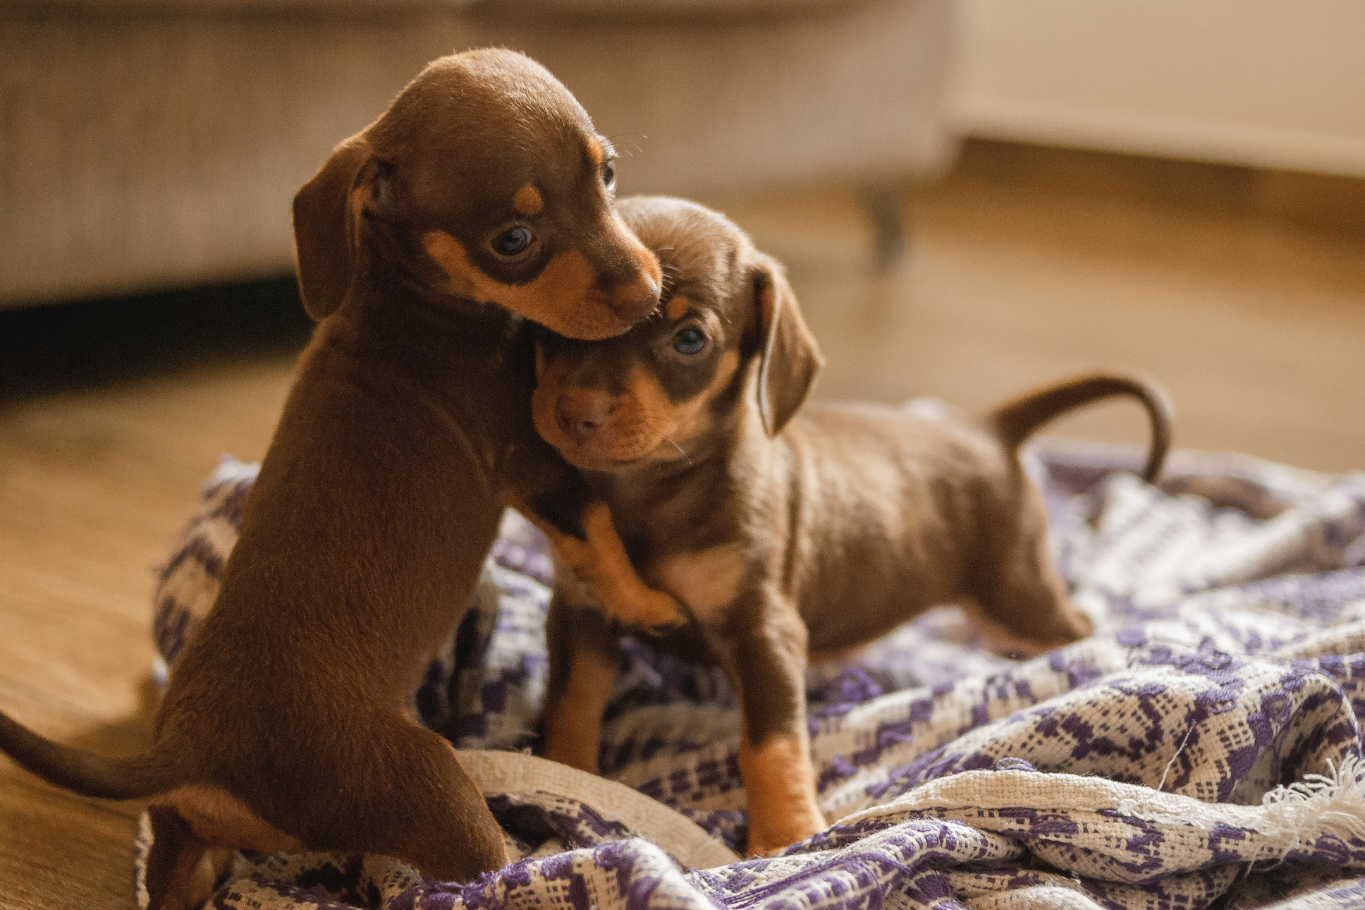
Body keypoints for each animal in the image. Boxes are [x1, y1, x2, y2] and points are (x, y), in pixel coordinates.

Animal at [0, 51, 671, 910]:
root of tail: (195, 749)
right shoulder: (528, 462)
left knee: (182, 874)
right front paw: (645, 602)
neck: (414, 297)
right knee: (488, 866)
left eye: (607, 172)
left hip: (189, 839)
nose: (646, 293)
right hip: (425, 782)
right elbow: (595, 529)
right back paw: (556, 852)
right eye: (513, 239)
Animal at [532, 196, 1173, 856]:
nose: (577, 412)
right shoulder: (582, 611)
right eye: (554, 319)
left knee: (1076, 627)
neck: (652, 491)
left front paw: (784, 837)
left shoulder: (765, 631)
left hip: (1014, 591)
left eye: (689, 340)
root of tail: (987, 427)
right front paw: (563, 785)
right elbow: (572, 705)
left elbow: (771, 745)